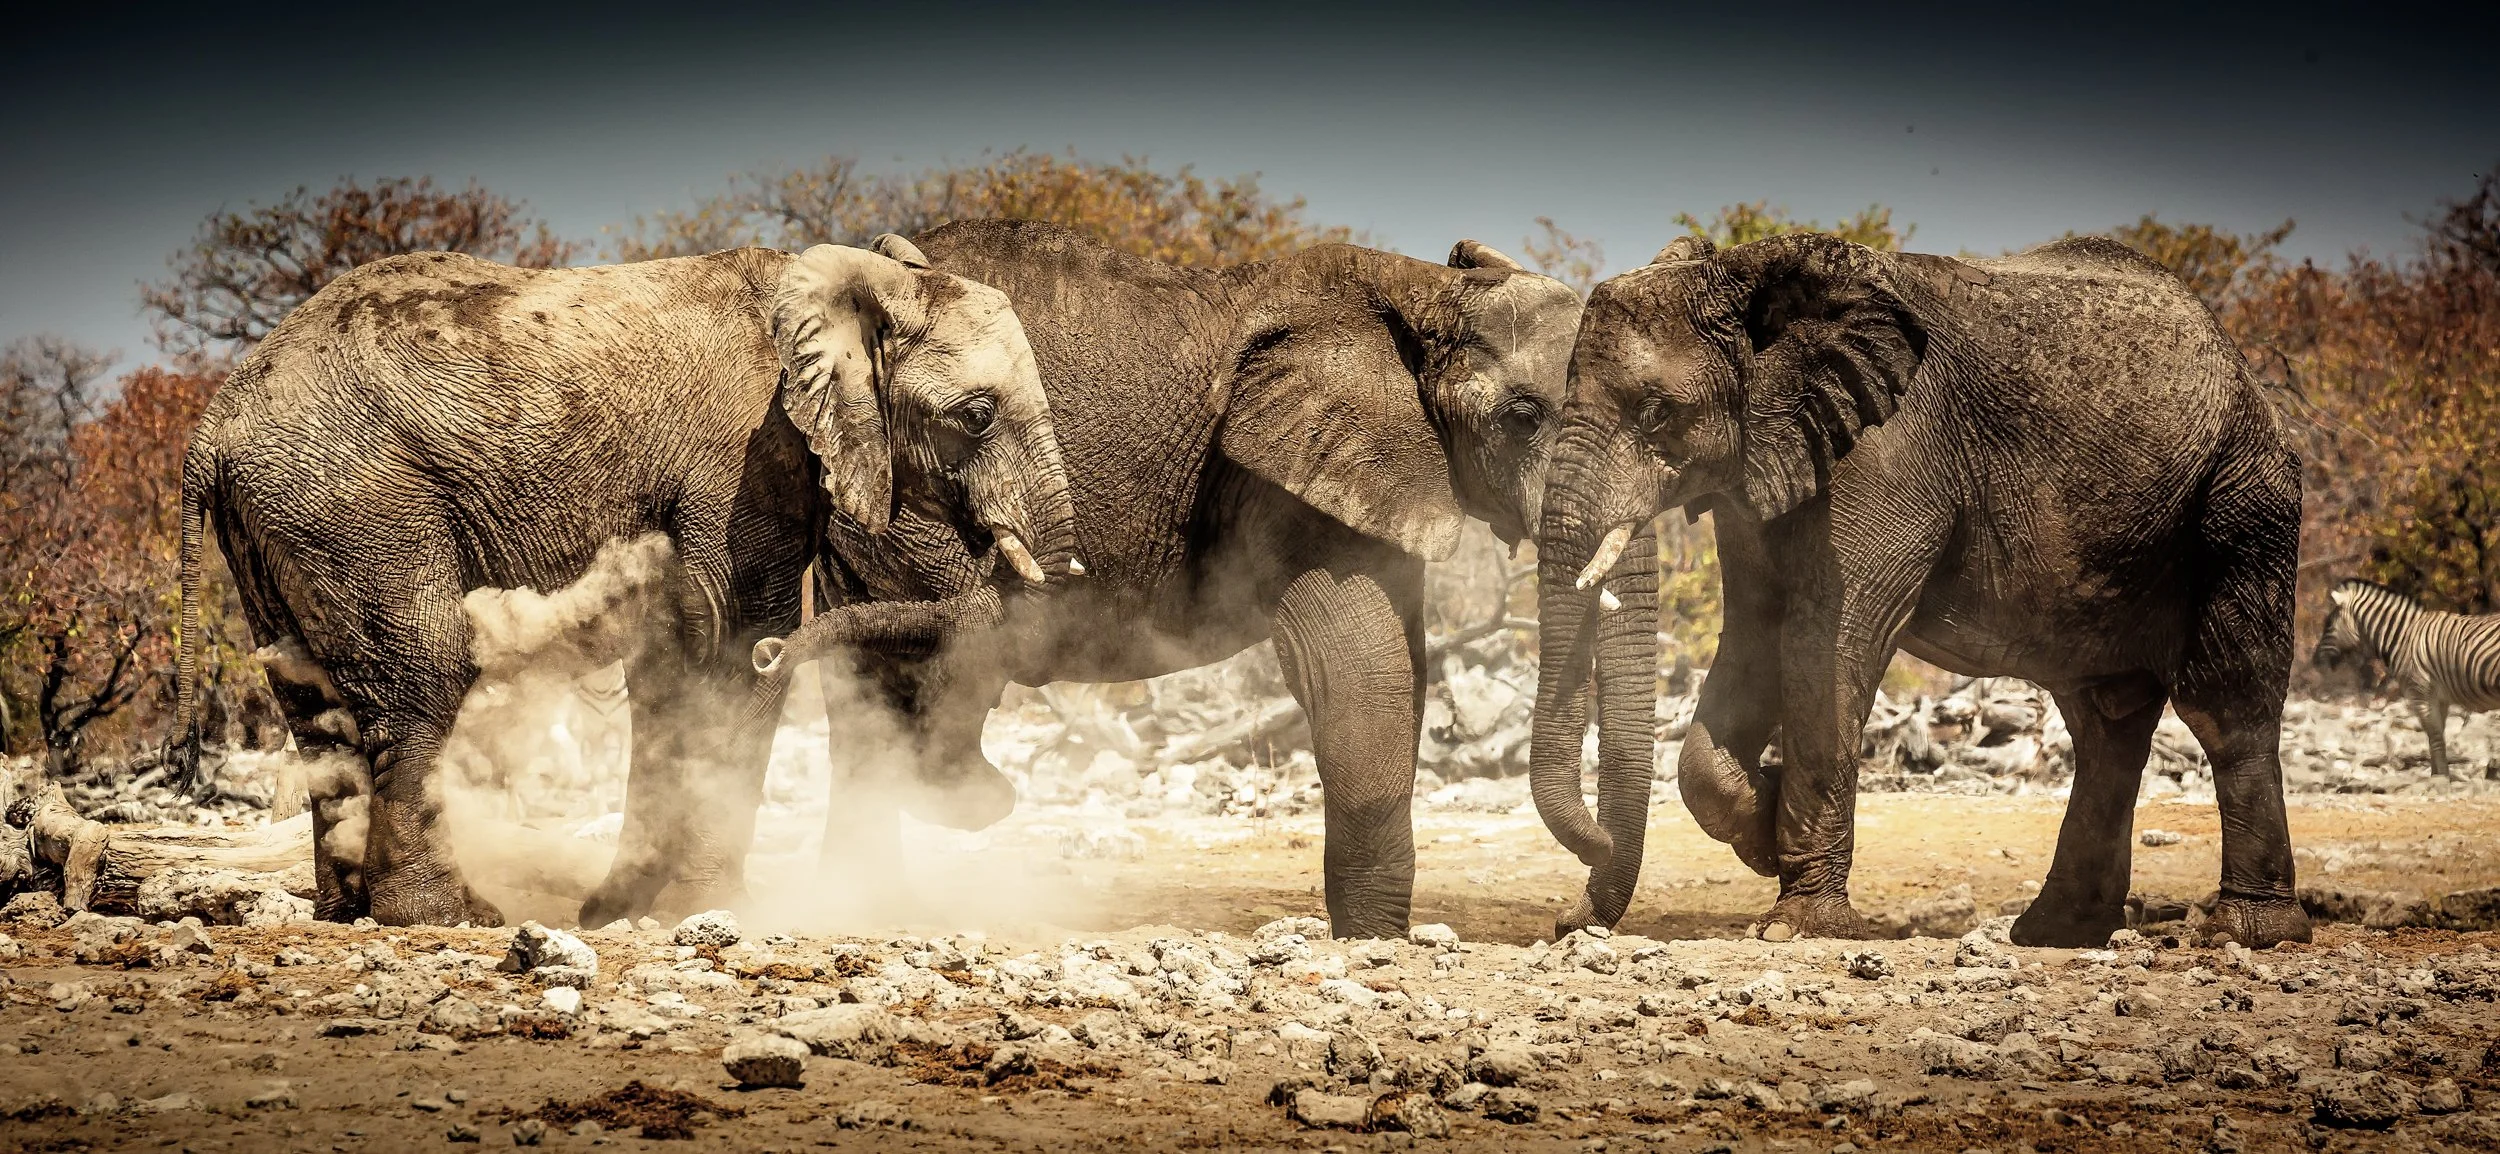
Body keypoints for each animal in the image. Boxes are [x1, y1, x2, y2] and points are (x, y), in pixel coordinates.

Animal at [172, 242, 1079, 927]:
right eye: (977, 416)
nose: (988, 801)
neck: (845, 281)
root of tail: (215, 417)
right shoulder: (744, 462)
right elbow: (733, 640)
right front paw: (725, 907)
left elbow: (673, 664)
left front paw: (621, 910)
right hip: (358, 504)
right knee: (424, 678)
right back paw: (443, 918)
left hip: (280, 524)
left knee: (312, 705)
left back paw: (350, 910)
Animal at [662, 221, 1584, 939]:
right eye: (1525, 414)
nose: (1572, 917)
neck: (1432, 292)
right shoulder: (1291, 474)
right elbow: (1354, 665)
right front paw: (1373, 941)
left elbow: (1401, 662)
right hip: (904, 509)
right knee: (946, 653)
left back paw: (870, 902)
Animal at [1528, 231, 2310, 950]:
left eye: (1655, 412)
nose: (1569, 921)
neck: (1751, 272)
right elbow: (1752, 638)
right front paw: (1763, 827)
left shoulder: (1888, 453)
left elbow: (1827, 639)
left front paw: (1801, 922)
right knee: (2103, 722)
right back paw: (2055, 933)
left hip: (2242, 499)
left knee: (2223, 701)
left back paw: (2249, 933)